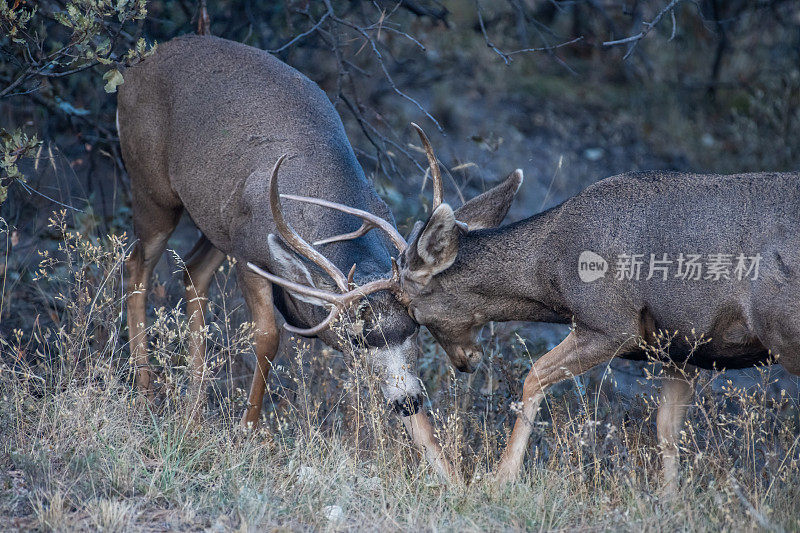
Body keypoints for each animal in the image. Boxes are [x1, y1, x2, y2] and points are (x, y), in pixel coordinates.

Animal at [115, 33, 460, 482]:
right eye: (355, 337)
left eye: (415, 327)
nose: (408, 400)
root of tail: (137, 65)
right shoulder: (251, 256)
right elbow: (267, 336)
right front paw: (246, 432)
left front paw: (452, 477)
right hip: (154, 189)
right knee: (137, 267)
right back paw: (146, 395)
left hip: (218, 222)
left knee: (191, 271)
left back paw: (191, 412)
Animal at [276, 134, 800, 490]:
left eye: (416, 316)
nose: (466, 362)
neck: (554, 269)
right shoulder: (681, 349)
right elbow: (667, 430)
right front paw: (669, 502)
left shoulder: (610, 323)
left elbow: (533, 377)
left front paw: (499, 479)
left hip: (785, 331)